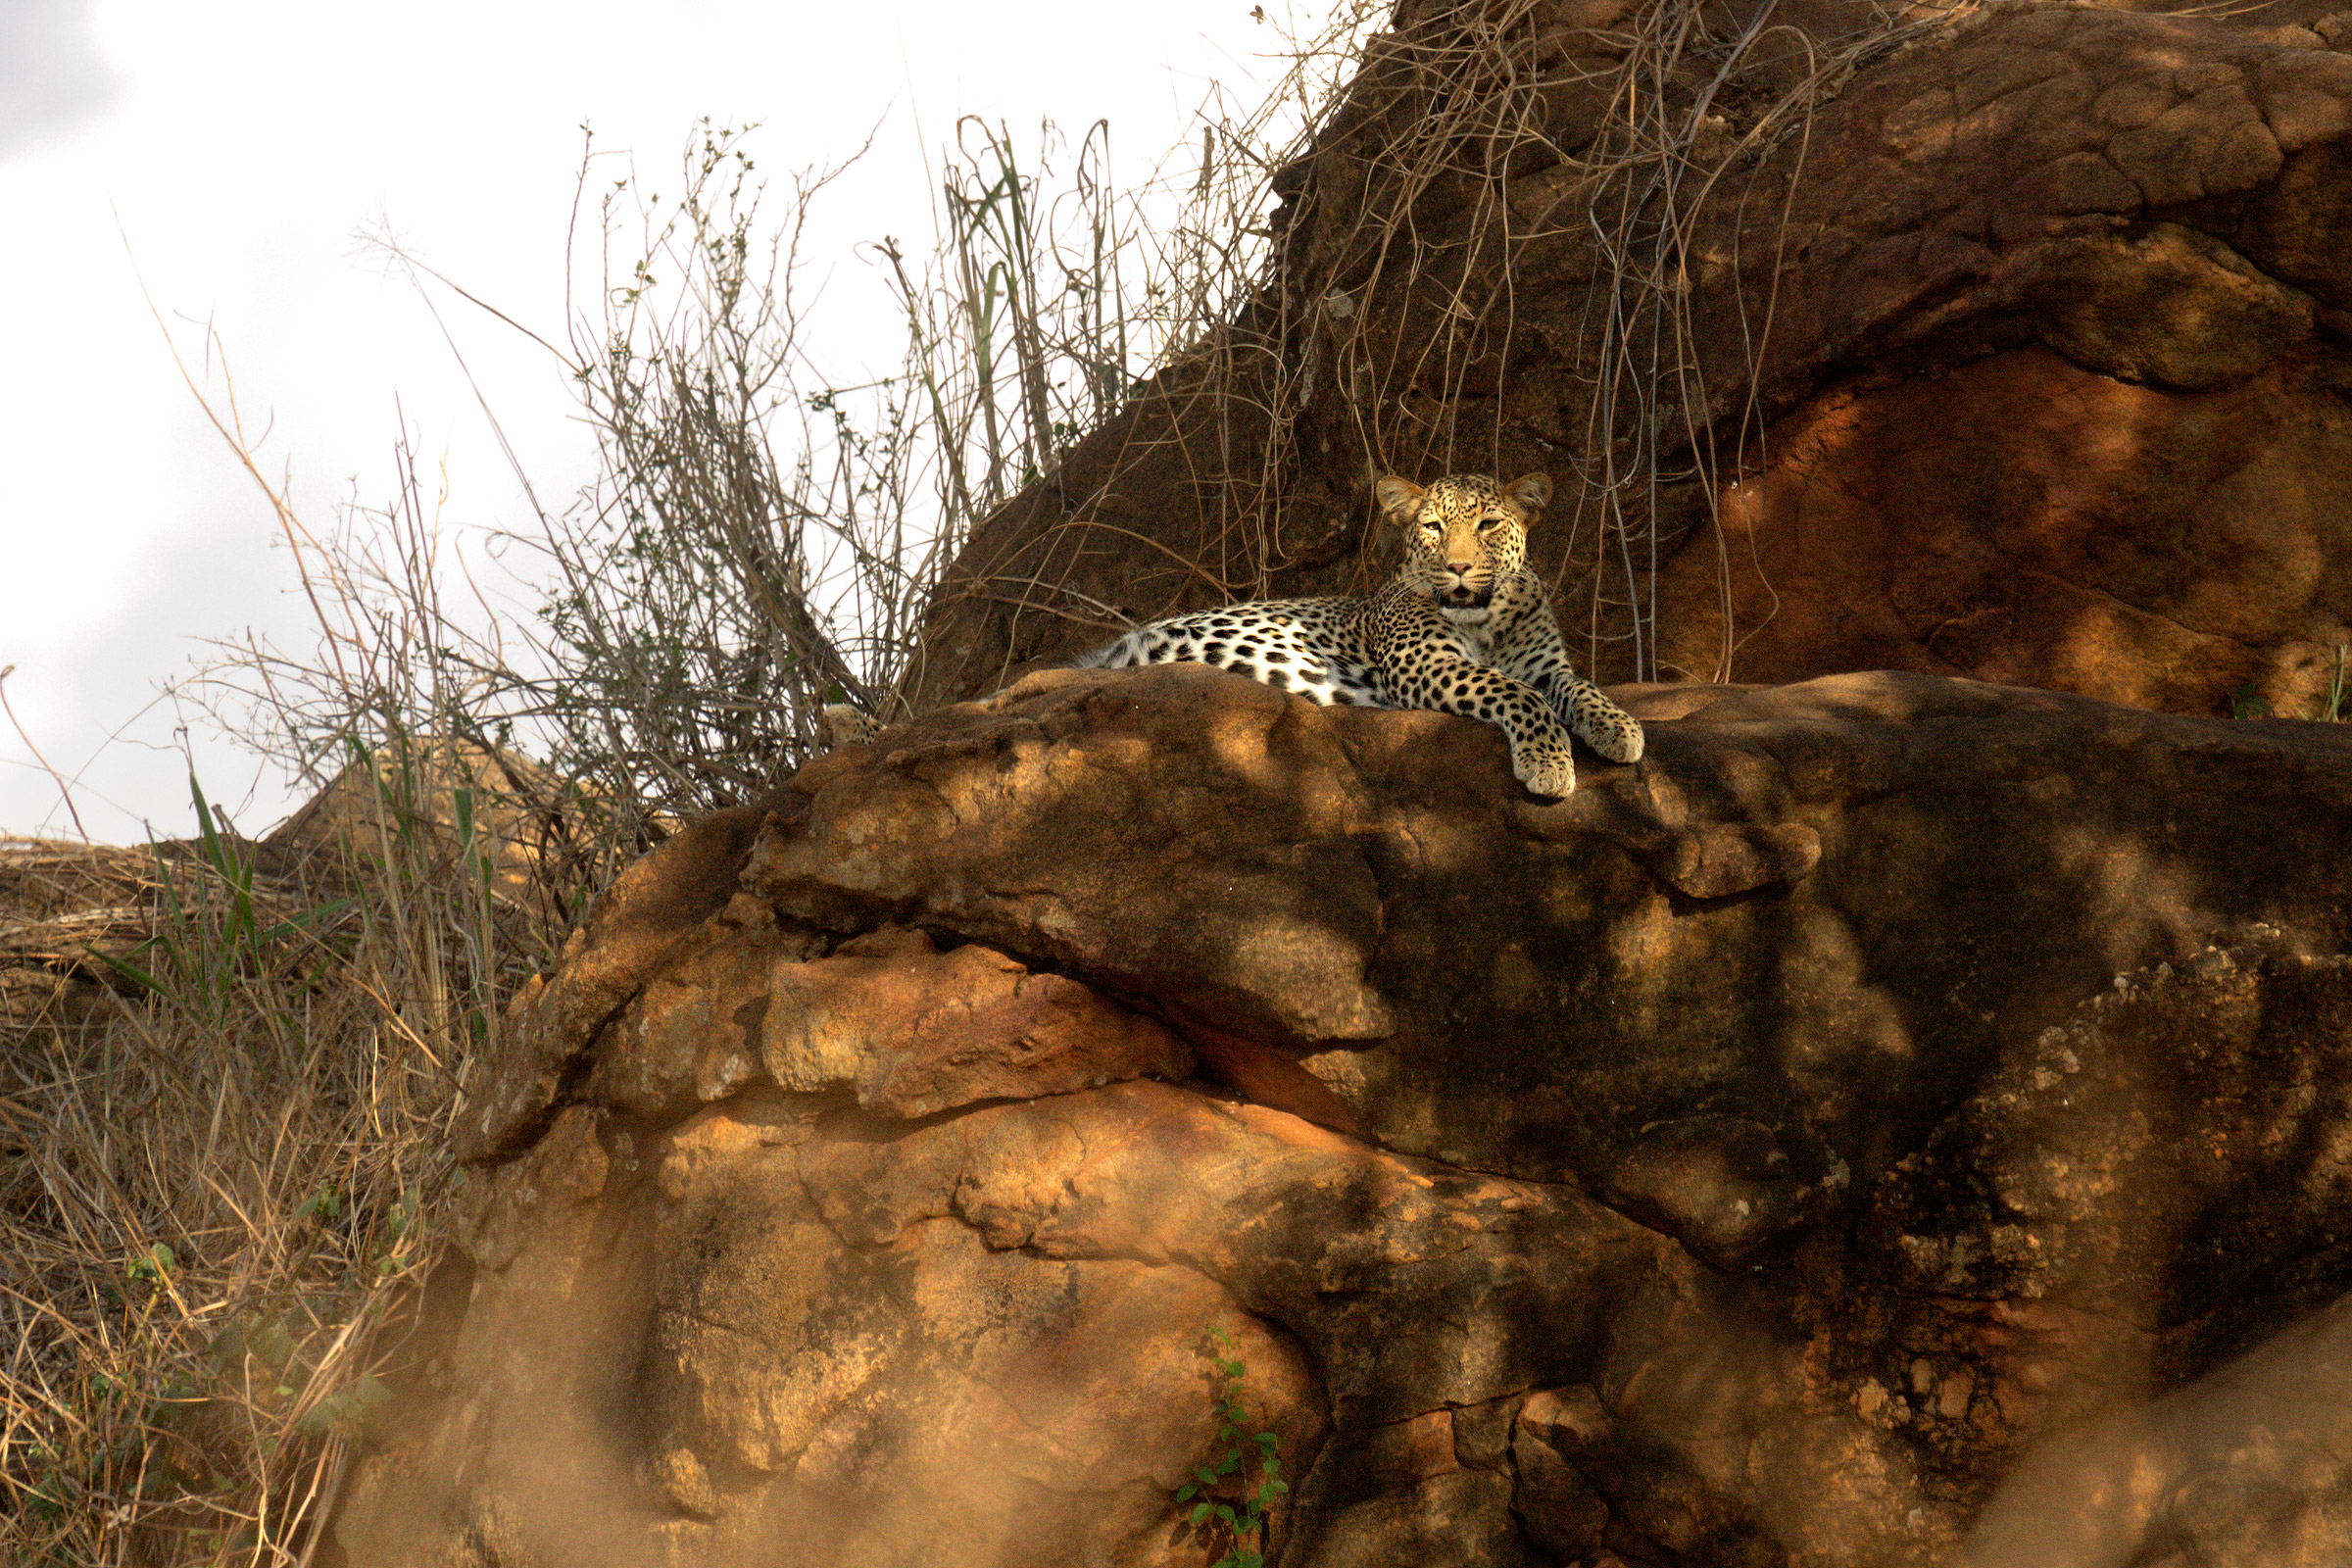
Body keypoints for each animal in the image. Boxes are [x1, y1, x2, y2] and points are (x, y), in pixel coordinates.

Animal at [824, 471, 1645, 796]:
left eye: (1492, 524)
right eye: (1435, 528)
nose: (1461, 567)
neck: (1489, 620)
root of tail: (1119, 648)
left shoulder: (1544, 661)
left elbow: (1576, 687)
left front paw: (1620, 729)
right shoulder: (1427, 666)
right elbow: (1516, 696)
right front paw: (1550, 764)